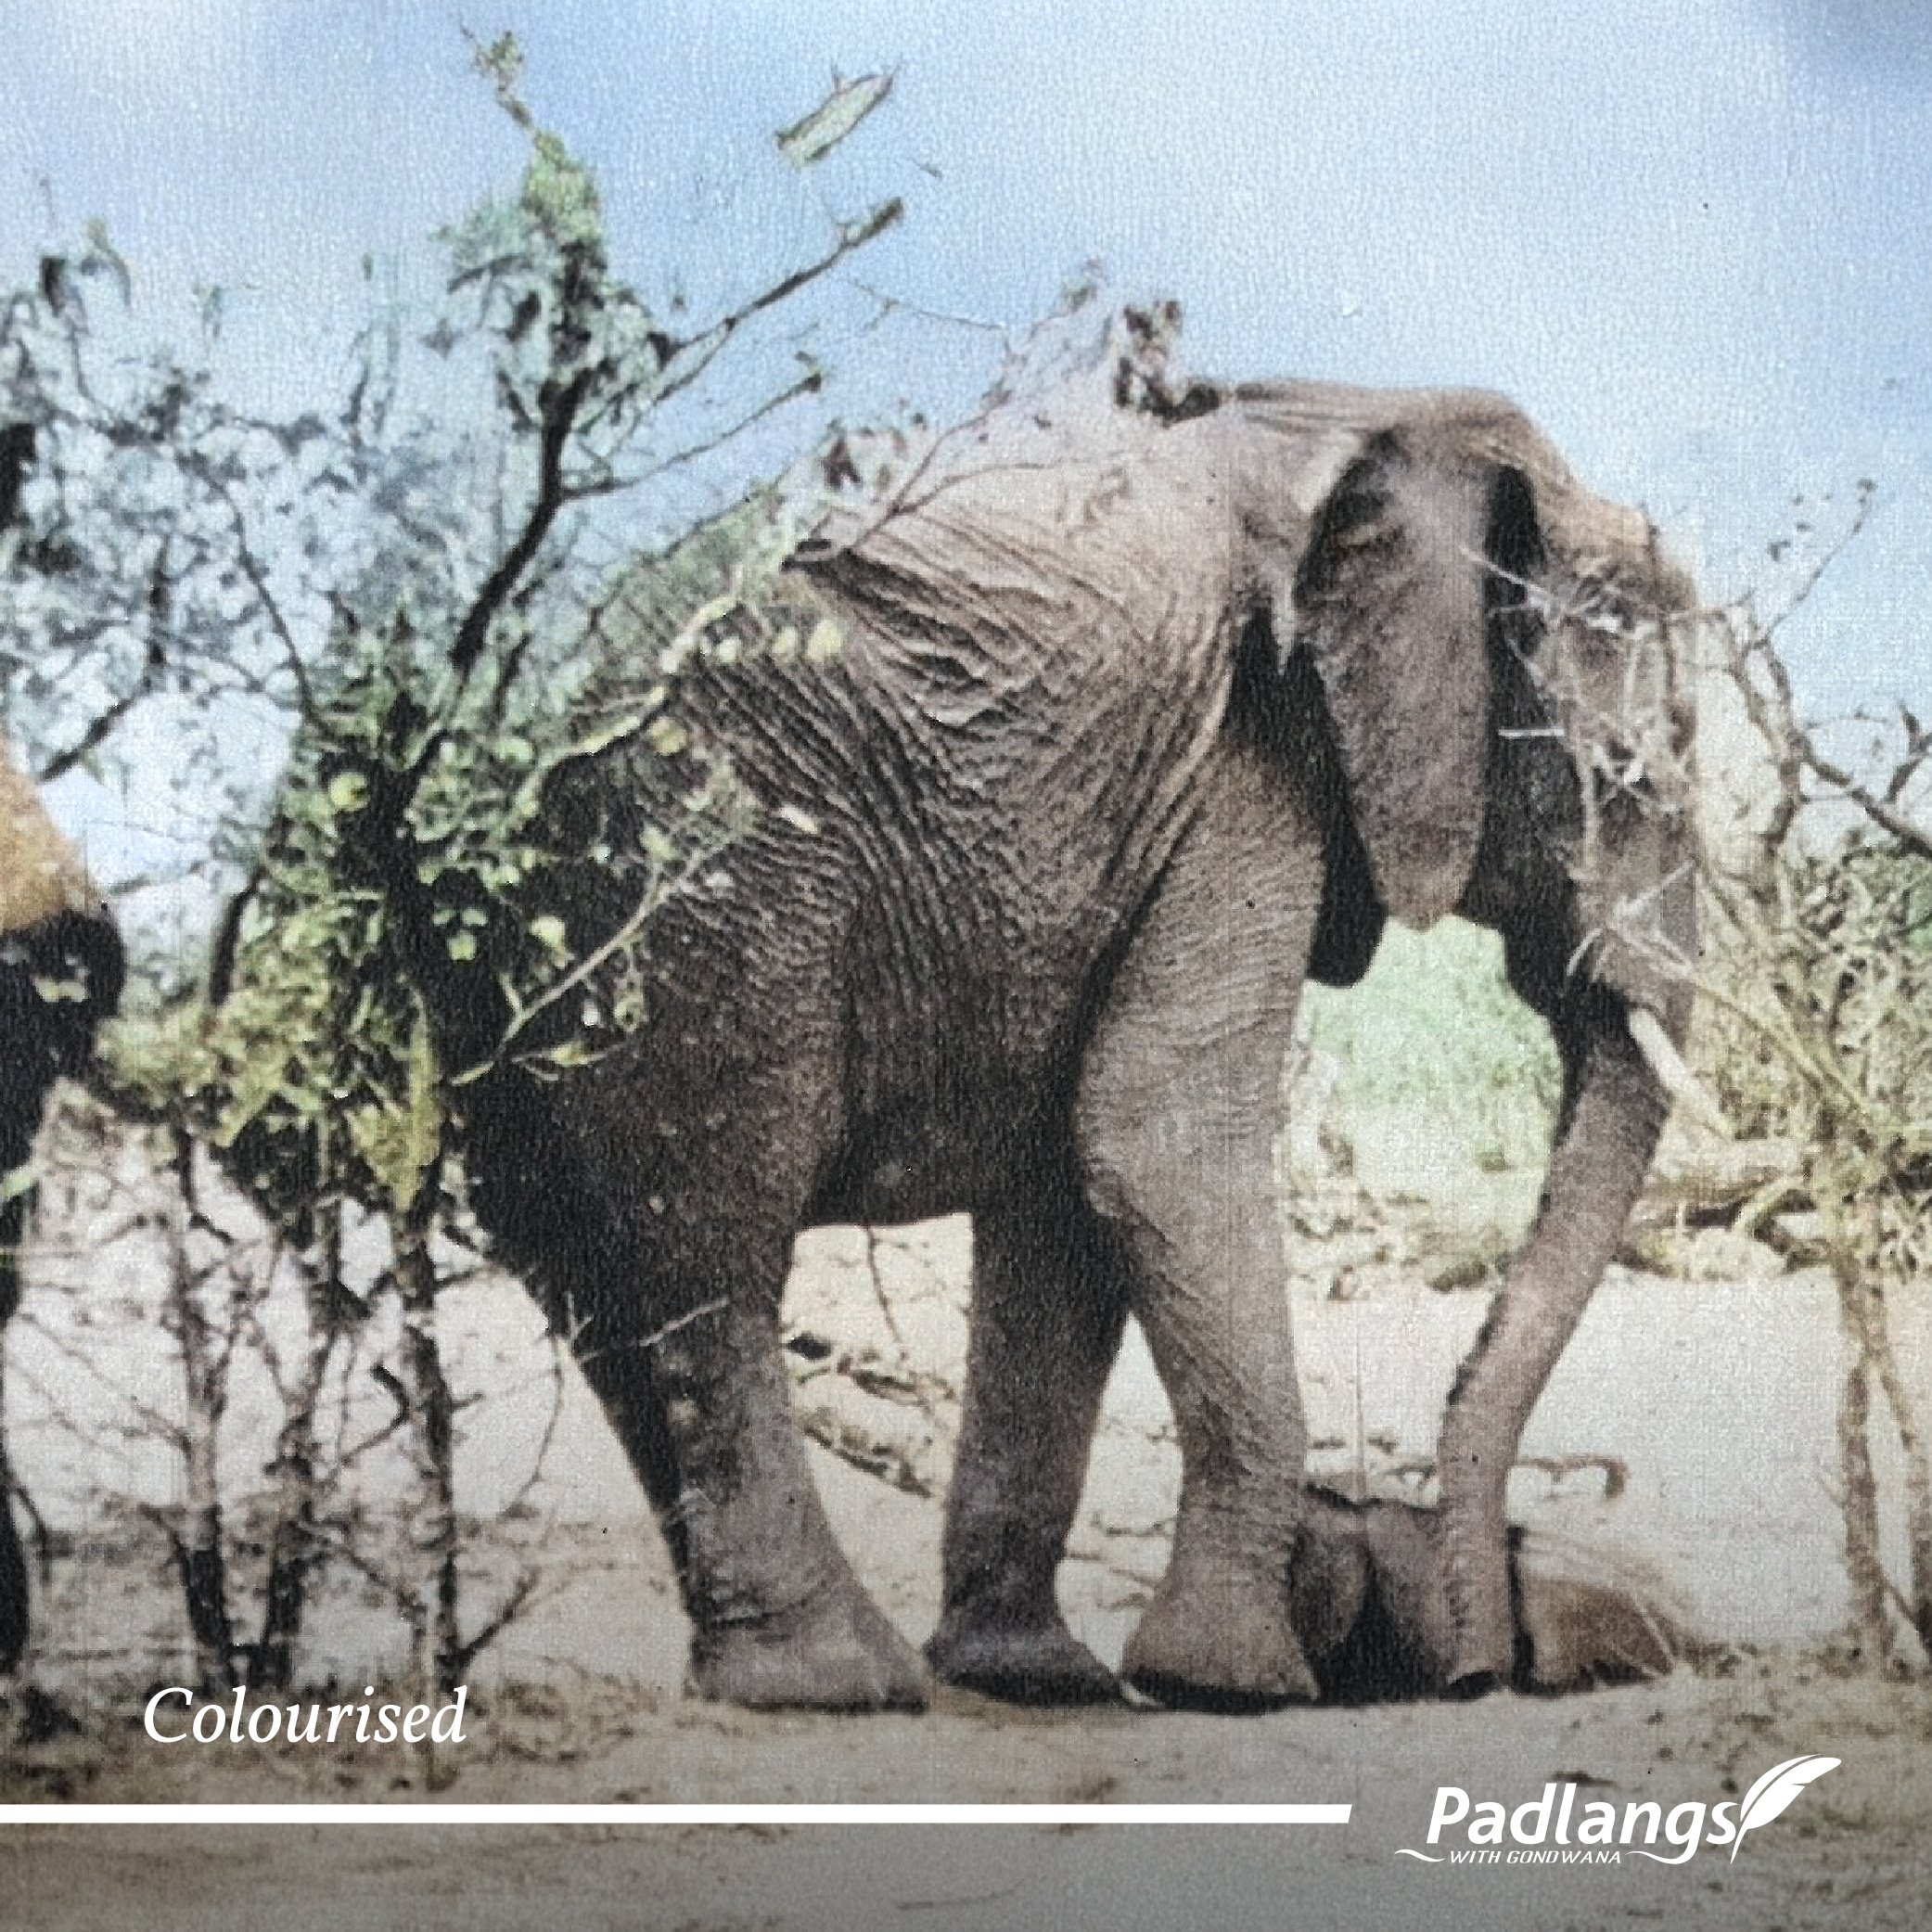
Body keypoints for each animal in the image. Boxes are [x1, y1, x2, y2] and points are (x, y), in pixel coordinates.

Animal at [399, 345, 1702, 1712]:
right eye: (1627, 774)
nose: (1472, 1673)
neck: (1394, 429)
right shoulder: (1247, 760)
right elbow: (1158, 1137)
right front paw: (1229, 1683)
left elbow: (1063, 1201)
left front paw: (1036, 1675)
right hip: (694, 874)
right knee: (705, 1256)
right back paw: (829, 1682)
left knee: (583, 1271)